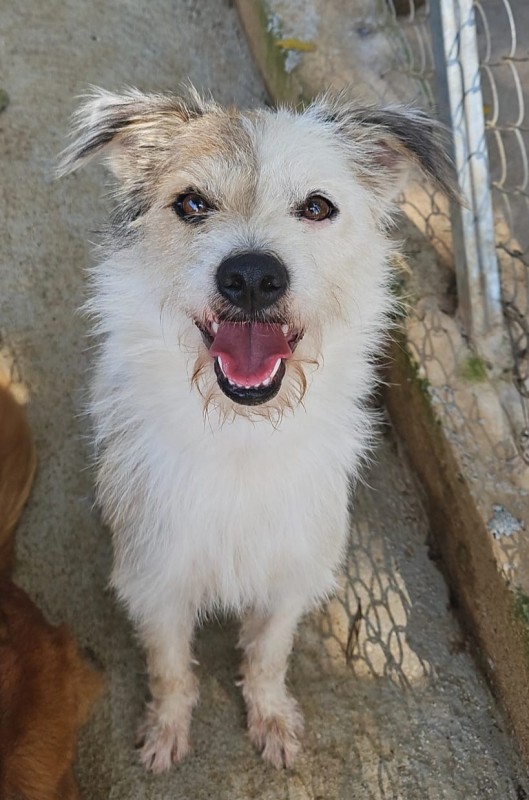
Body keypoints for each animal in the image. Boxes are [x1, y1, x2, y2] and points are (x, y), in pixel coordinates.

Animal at [58, 89, 454, 776]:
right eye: (192, 203)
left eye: (317, 206)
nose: (249, 276)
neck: (241, 434)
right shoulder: (156, 579)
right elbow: (169, 668)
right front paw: (167, 729)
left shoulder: (291, 576)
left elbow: (268, 655)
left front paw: (271, 719)